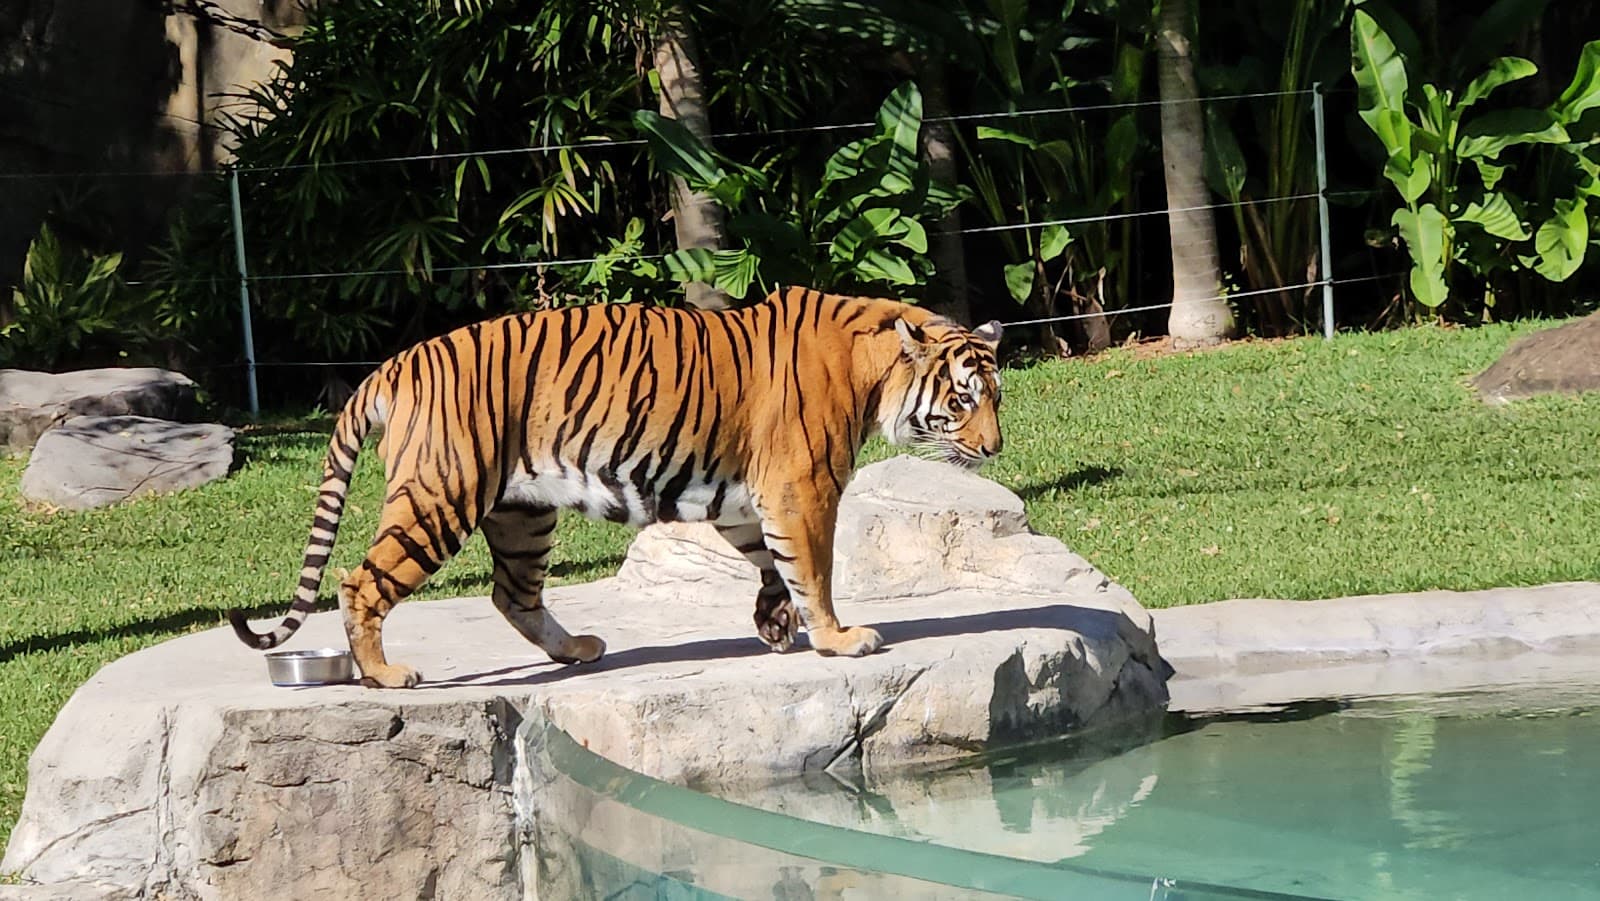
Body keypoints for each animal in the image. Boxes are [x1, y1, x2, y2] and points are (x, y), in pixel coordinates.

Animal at [228, 286, 1004, 688]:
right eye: (963, 399)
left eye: (995, 396)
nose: (995, 447)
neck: (875, 371)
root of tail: (394, 365)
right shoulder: (801, 486)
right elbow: (812, 566)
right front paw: (839, 638)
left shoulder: (752, 496)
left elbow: (769, 560)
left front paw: (775, 624)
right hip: (441, 496)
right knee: (361, 581)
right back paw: (385, 676)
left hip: (520, 512)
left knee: (513, 594)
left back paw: (577, 649)